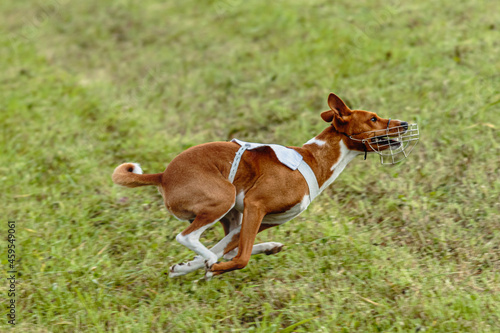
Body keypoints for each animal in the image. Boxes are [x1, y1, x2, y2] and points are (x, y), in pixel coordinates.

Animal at [112, 92, 418, 278]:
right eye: (373, 119)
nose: (404, 123)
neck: (314, 159)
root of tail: (163, 175)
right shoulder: (255, 205)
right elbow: (240, 257)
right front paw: (212, 268)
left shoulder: (261, 219)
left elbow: (229, 248)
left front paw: (187, 267)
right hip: (225, 197)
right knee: (188, 237)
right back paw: (212, 260)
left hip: (231, 214)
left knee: (218, 244)